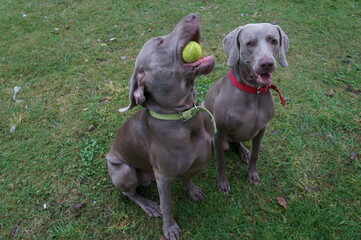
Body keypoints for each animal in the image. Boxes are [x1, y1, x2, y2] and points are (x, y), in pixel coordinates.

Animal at [105, 13, 215, 240]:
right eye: (160, 42)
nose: (192, 15)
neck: (183, 117)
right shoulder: (163, 177)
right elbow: (168, 205)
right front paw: (170, 228)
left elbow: (187, 177)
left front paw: (191, 190)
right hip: (123, 171)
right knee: (129, 193)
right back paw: (149, 205)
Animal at [204, 23, 288, 194]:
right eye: (249, 43)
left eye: (274, 41)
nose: (267, 63)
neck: (253, 93)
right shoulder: (219, 133)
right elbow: (220, 162)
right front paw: (222, 183)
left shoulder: (262, 129)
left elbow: (256, 154)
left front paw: (252, 174)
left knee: (237, 142)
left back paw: (243, 152)